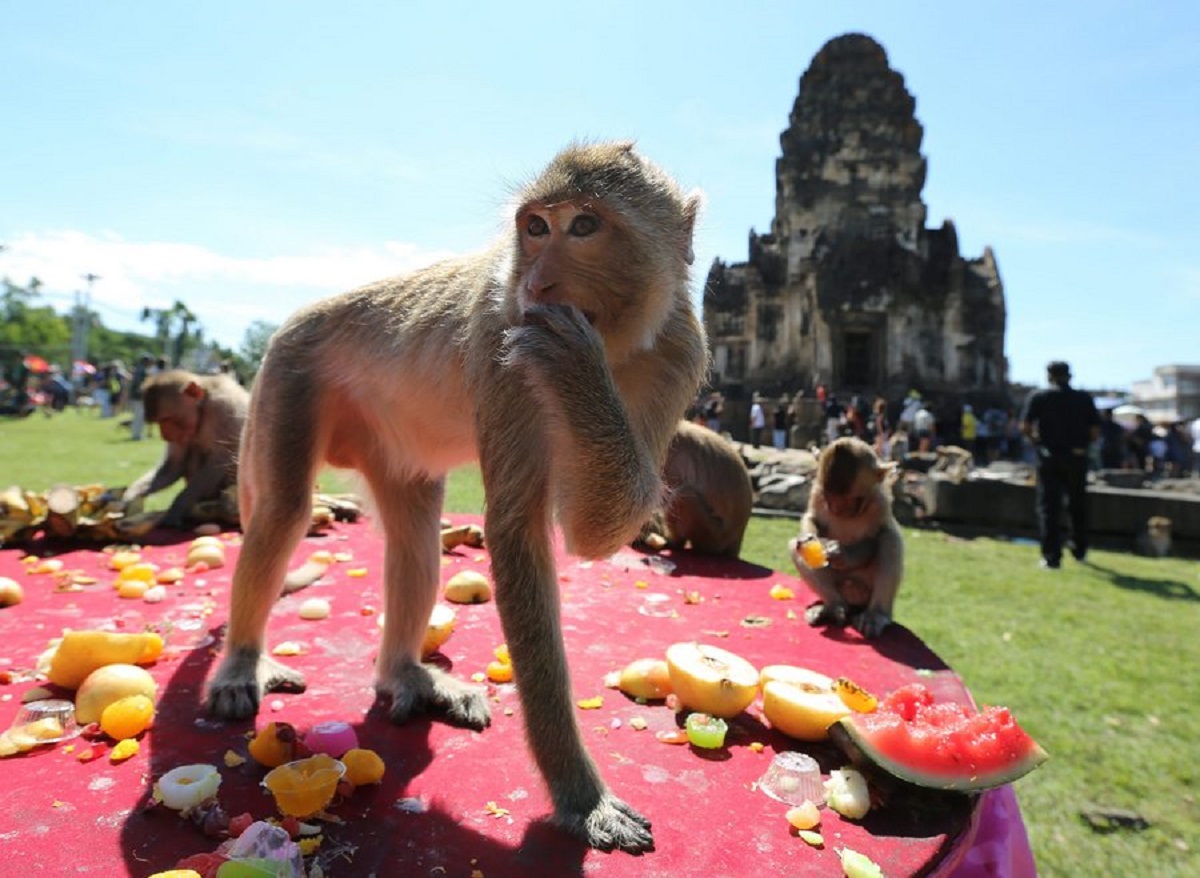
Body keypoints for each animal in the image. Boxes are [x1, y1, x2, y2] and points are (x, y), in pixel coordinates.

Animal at [121, 369, 248, 527]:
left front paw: (176, 508)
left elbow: (221, 459)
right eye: (159, 422)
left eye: (167, 419)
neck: (203, 406)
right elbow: (175, 464)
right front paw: (130, 496)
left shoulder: (226, 408)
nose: (164, 435)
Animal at [201, 142, 705, 849]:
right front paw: (581, 797)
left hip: (383, 443)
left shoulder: (680, 351)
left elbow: (590, 533)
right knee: (282, 512)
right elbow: (518, 528)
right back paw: (243, 663)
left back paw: (403, 672)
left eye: (585, 225)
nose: (537, 285)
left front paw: (574, 366)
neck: (617, 344)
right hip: (291, 375)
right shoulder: (504, 339)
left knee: (413, 533)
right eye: (535, 227)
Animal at [787, 436, 902, 638]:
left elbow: (876, 536)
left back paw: (875, 615)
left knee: (889, 540)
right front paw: (810, 539)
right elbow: (811, 518)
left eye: (850, 499)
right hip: (842, 587)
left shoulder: (879, 501)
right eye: (829, 496)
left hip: (864, 590)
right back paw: (832, 606)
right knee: (796, 547)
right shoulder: (818, 491)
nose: (835, 508)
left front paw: (842, 554)